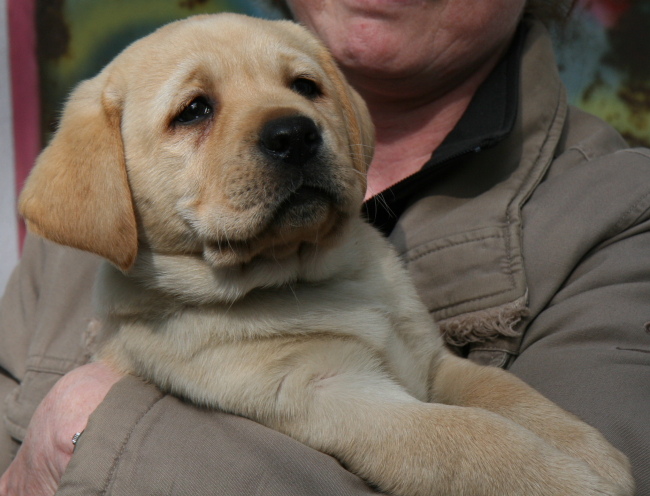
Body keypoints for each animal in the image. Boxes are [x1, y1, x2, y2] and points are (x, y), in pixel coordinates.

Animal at [17, 14, 632, 496]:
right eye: (193, 111)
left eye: (305, 86)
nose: (294, 134)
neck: (304, 277)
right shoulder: (326, 393)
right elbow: (465, 438)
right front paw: (569, 482)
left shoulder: (429, 358)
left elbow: (507, 394)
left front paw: (591, 455)